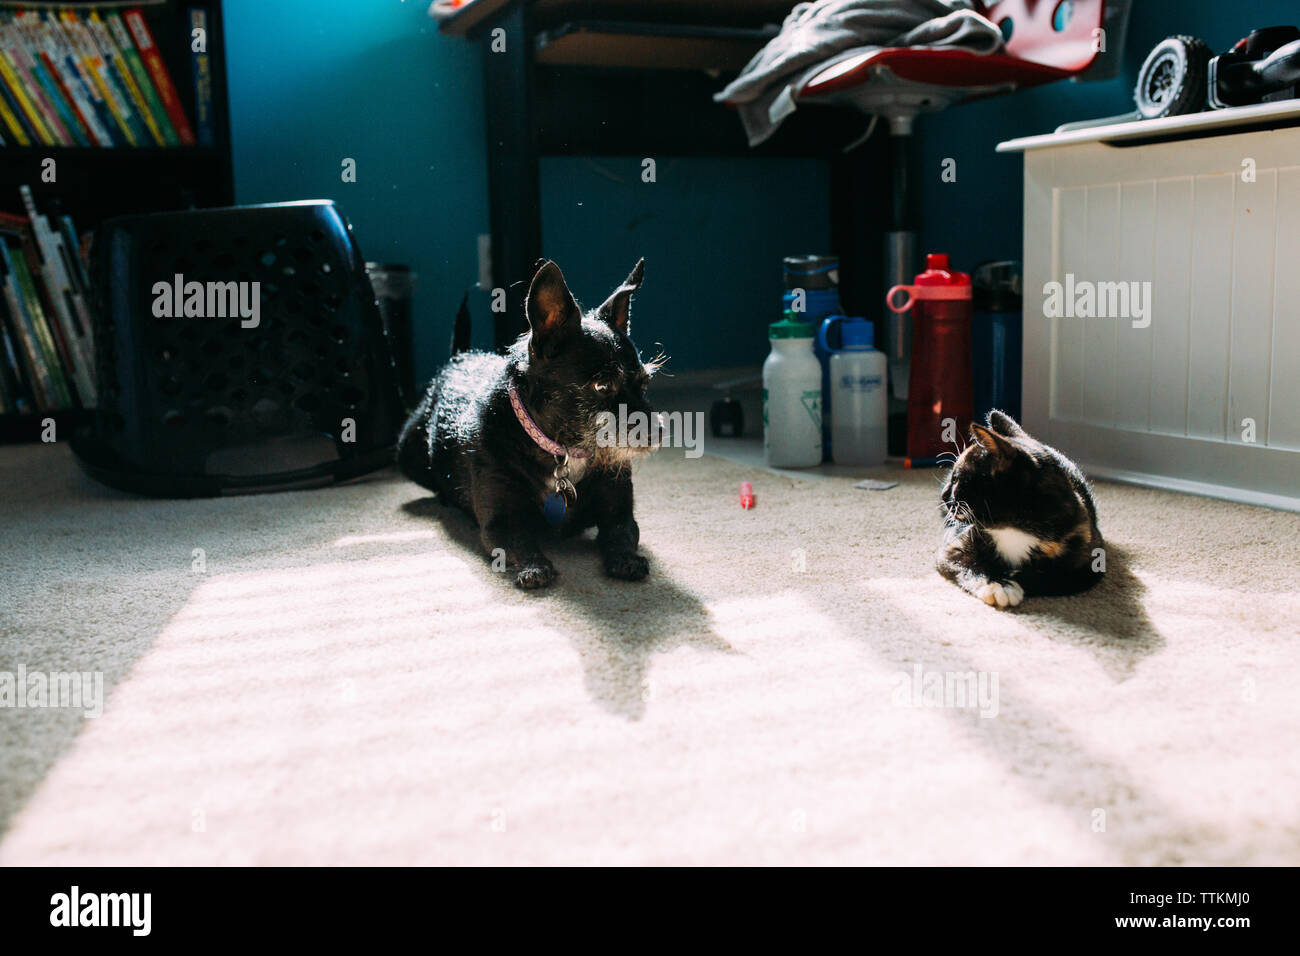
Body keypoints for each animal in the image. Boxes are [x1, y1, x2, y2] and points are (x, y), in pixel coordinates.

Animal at [395, 261, 660, 590]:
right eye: (602, 385)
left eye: (645, 382)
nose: (659, 432)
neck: (565, 449)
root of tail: (459, 357)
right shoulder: (501, 522)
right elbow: (521, 542)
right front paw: (534, 567)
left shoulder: (619, 511)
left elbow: (620, 534)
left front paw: (625, 559)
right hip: (407, 454)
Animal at [941, 408, 1102, 606]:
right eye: (952, 477)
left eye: (958, 479)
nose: (943, 495)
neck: (1014, 526)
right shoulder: (954, 544)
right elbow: (967, 560)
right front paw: (997, 584)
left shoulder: (1090, 554)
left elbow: (1059, 578)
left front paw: (1016, 576)